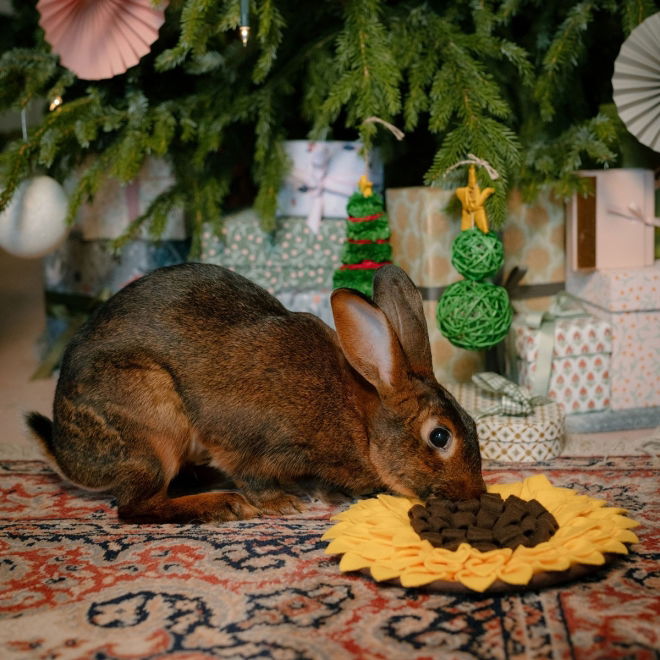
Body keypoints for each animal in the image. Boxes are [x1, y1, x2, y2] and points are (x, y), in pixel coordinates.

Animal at [25, 262, 484, 520]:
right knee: (135, 506)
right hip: (153, 425)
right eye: (439, 436)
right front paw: (284, 504)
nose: (475, 496)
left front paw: (329, 494)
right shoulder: (249, 442)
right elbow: (255, 477)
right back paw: (220, 505)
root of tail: (71, 458)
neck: (362, 422)